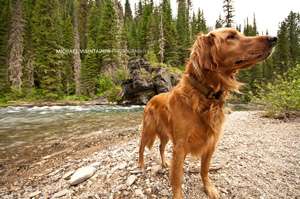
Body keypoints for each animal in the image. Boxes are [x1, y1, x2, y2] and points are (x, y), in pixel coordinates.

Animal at [138, 28, 276, 199]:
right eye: (231, 36)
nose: (274, 38)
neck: (206, 95)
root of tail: (151, 99)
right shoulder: (180, 145)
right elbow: (177, 177)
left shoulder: (210, 143)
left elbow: (204, 170)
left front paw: (209, 188)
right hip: (148, 130)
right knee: (141, 147)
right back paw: (141, 164)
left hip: (165, 134)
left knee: (161, 147)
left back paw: (164, 162)